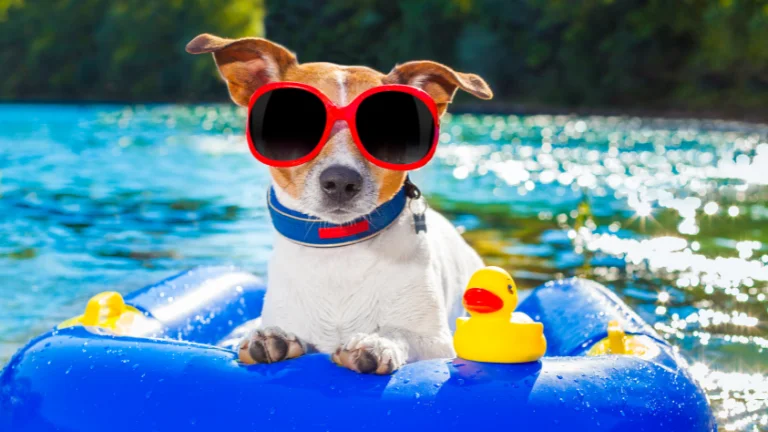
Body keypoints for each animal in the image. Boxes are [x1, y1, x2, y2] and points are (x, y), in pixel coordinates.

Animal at [189, 33, 496, 372]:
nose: (340, 181)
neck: (338, 249)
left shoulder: (438, 343)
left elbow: (400, 332)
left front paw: (376, 342)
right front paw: (273, 337)